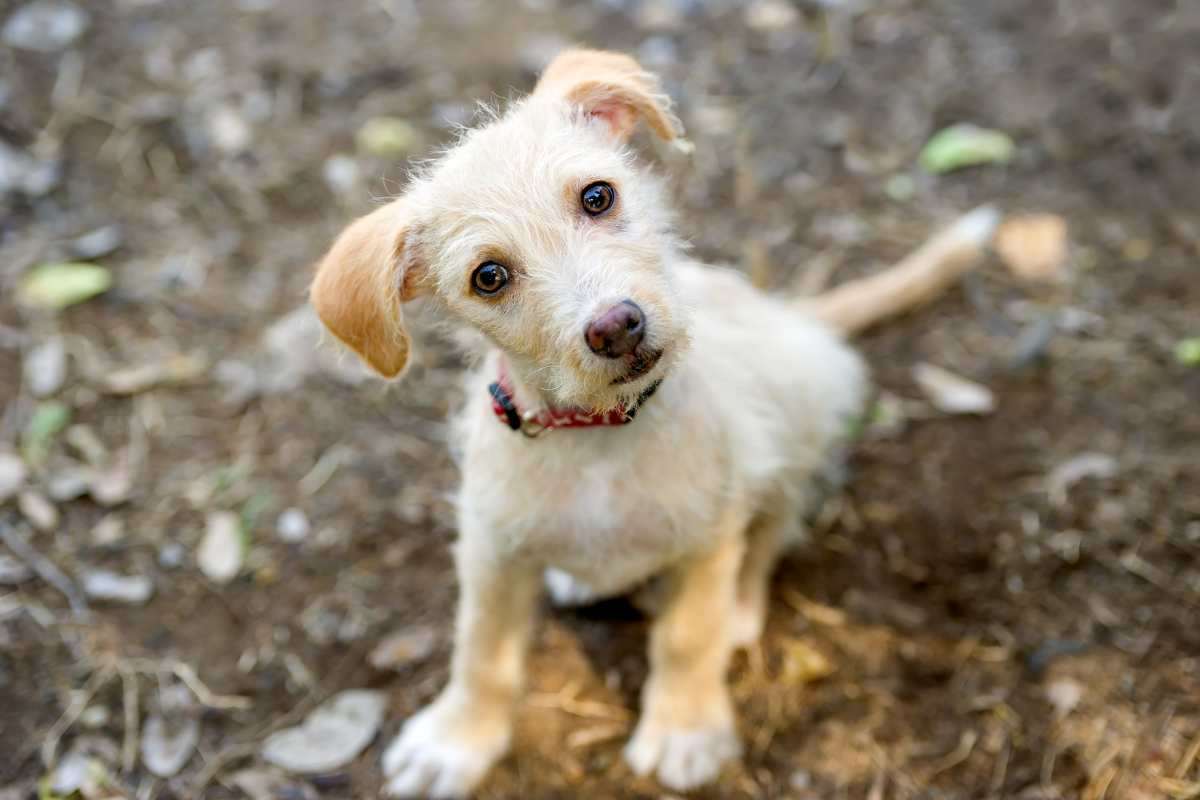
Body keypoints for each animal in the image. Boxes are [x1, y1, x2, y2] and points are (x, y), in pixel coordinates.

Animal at [309, 47, 993, 796]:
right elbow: (481, 649)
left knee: (771, 530)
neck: (598, 439)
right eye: (488, 276)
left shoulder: (706, 536)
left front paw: (684, 729)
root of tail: (790, 314)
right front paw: (455, 740)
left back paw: (740, 610)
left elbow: (688, 636)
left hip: (798, 414)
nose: (616, 326)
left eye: (597, 196)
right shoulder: (492, 547)